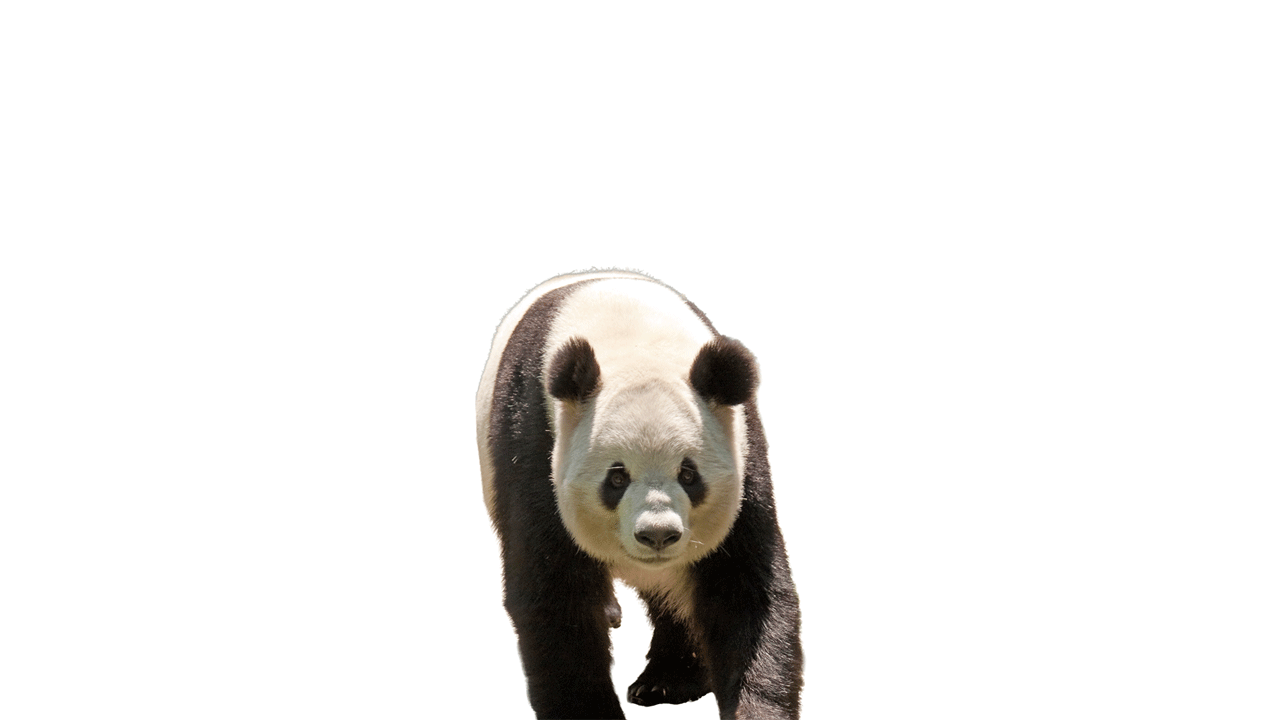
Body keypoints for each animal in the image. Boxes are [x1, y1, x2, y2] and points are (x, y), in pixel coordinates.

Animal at [476, 270, 802, 719]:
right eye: (616, 478)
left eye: (689, 474)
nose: (658, 535)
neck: (634, 341)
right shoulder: (536, 442)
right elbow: (556, 597)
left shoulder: (742, 450)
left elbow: (744, 591)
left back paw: (668, 681)